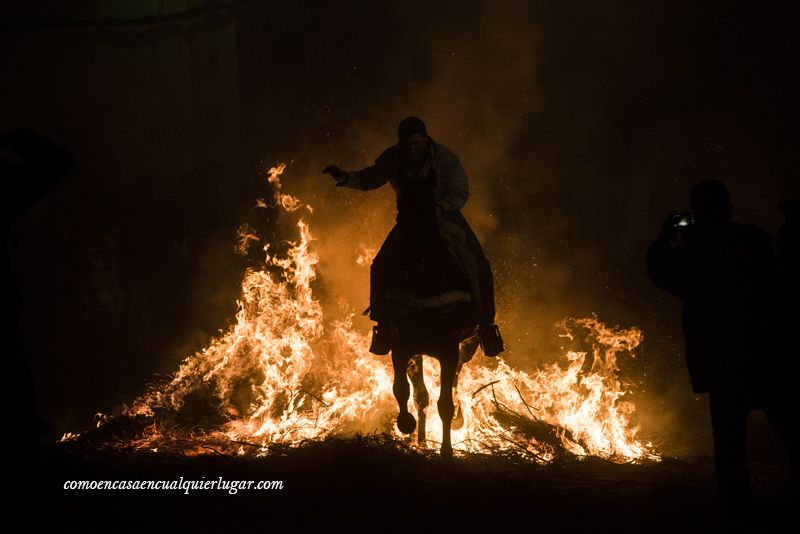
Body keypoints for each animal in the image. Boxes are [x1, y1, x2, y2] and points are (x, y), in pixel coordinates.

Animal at [376, 170, 478, 458]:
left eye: (430, 206)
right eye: (400, 207)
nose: (414, 250)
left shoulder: (449, 349)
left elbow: (445, 402)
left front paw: (446, 450)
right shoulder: (401, 346)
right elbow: (405, 391)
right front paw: (407, 425)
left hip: (468, 344)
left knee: (455, 380)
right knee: (421, 396)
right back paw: (421, 440)